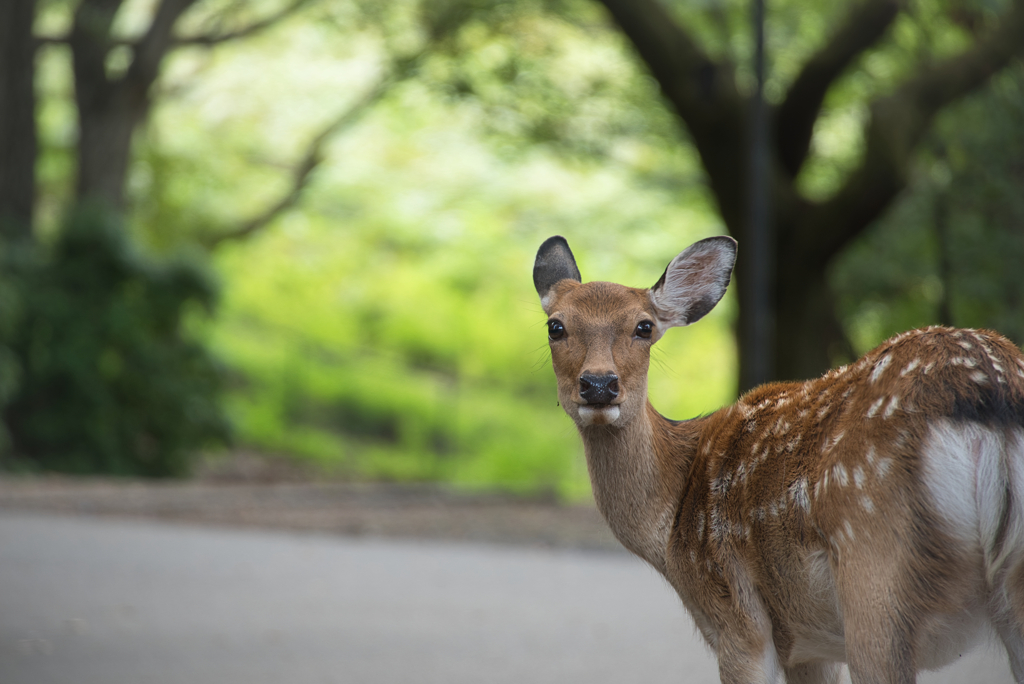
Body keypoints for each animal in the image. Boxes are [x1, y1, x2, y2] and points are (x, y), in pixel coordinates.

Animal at [532, 236, 1024, 684]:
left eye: (644, 327)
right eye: (555, 327)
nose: (599, 384)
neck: (672, 526)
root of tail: (985, 390)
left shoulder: (737, 621)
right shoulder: (809, 644)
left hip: (874, 570)